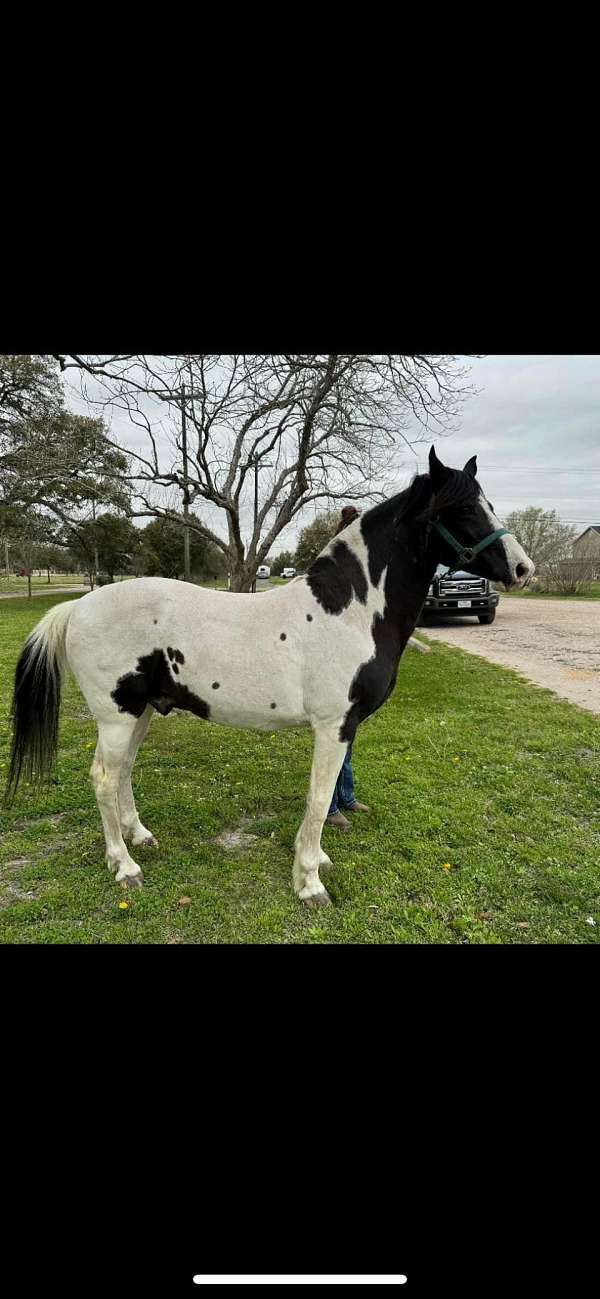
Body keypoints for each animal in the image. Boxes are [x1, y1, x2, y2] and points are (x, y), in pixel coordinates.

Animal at [4, 452, 535, 909]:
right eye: (463, 508)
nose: (523, 568)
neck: (349, 611)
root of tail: (77, 606)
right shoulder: (333, 726)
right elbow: (319, 798)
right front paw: (309, 883)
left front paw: (317, 861)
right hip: (117, 716)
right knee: (104, 778)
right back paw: (124, 866)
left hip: (142, 713)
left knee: (124, 774)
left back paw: (140, 838)